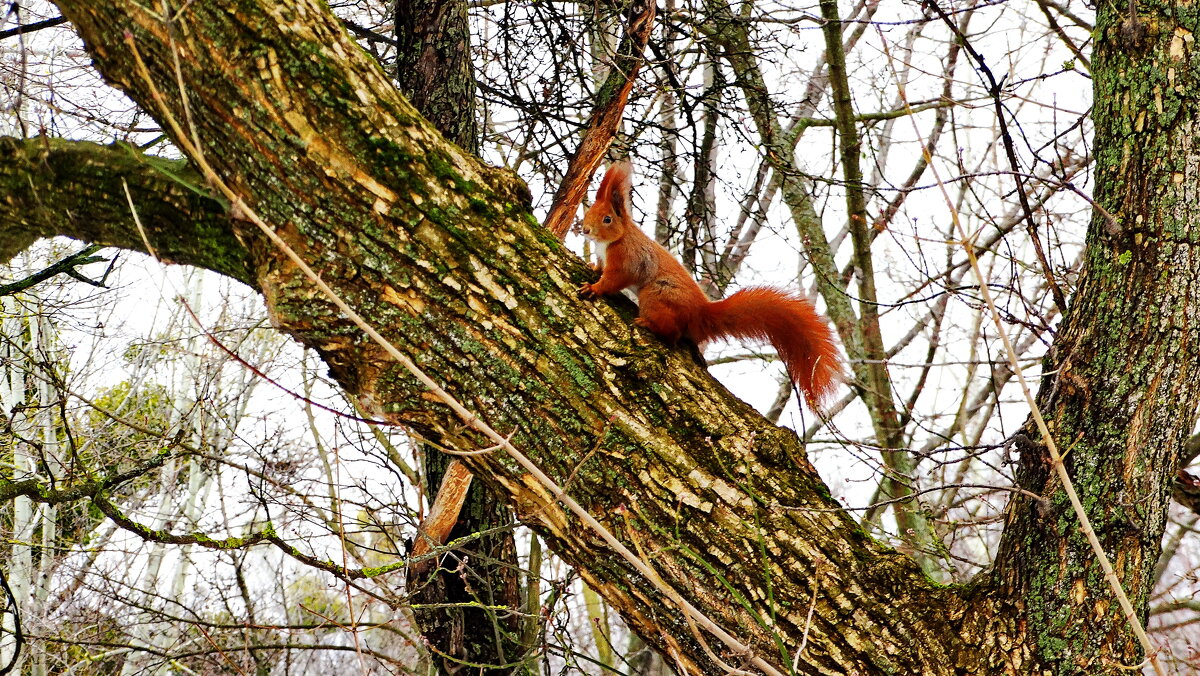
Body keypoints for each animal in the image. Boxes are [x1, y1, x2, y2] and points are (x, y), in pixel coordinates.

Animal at [578, 162, 844, 408]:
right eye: (589, 211)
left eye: (607, 219)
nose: (585, 230)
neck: (615, 239)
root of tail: (700, 314)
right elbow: (600, 268)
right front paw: (592, 267)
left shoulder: (627, 258)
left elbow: (614, 279)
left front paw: (595, 288)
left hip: (656, 295)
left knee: (672, 333)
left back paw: (649, 324)